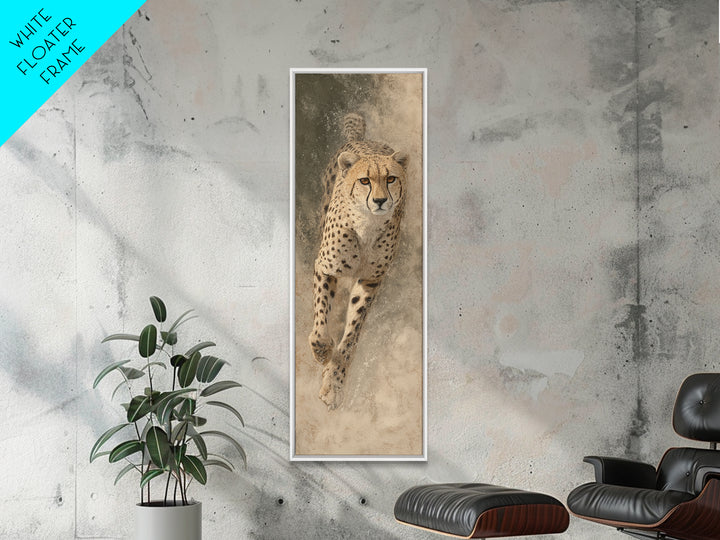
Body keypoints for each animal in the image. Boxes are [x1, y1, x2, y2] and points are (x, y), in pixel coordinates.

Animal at [308, 112, 409, 410]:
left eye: (390, 178)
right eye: (365, 181)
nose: (380, 200)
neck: (367, 224)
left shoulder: (370, 280)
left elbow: (352, 333)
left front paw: (334, 383)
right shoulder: (325, 268)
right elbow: (321, 315)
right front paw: (322, 350)